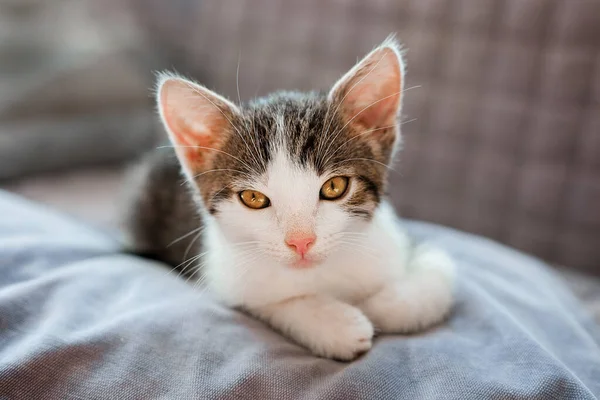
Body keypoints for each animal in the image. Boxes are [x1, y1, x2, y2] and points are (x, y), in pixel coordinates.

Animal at [124, 37, 458, 360]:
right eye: (253, 197)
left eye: (334, 187)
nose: (301, 242)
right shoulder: (223, 274)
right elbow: (271, 301)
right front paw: (336, 323)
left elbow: (440, 273)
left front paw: (382, 303)